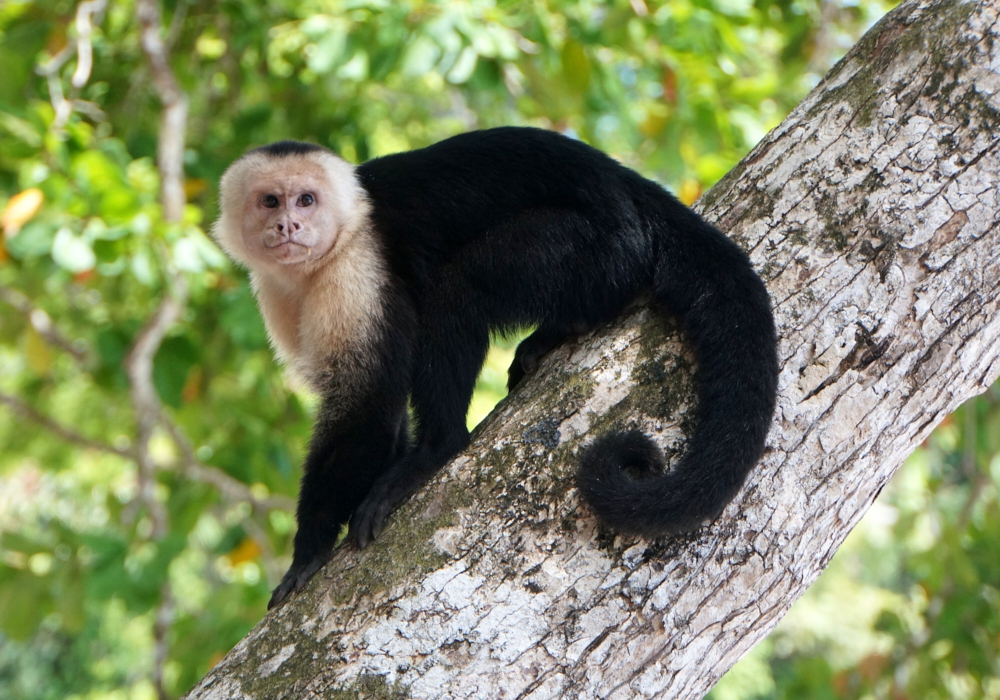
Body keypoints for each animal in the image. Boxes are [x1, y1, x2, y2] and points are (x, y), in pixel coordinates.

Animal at [213, 129, 780, 608]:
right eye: (270, 201)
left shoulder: (357, 272)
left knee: (459, 287)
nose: (289, 224)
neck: (322, 261)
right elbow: (379, 413)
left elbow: (368, 402)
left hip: (600, 245)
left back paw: (436, 449)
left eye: (307, 200)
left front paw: (308, 549)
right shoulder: (277, 293)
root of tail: (629, 187)